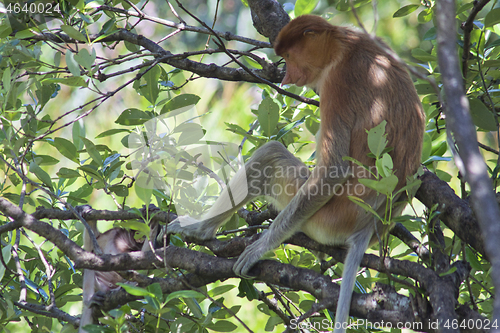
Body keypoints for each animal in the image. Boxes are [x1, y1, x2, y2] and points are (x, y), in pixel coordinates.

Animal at [168, 14, 426, 330]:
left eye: (290, 56)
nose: (286, 77)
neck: (344, 43)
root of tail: (368, 226)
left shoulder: (338, 81)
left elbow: (333, 170)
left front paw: (257, 249)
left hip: (327, 218)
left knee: (271, 155)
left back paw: (200, 229)